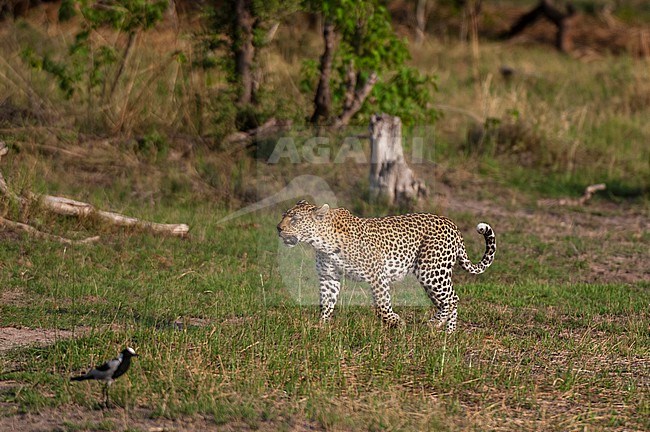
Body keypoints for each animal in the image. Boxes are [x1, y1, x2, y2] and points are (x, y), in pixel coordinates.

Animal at [276, 201, 494, 332]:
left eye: (295, 219)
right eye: (284, 215)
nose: (278, 228)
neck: (322, 242)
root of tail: (453, 225)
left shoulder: (376, 274)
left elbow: (382, 305)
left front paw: (396, 323)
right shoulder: (328, 276)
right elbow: (326, 303)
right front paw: (321, 326)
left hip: (431, 271)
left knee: (452, 299)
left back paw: (435, 324)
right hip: (433, 277)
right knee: (446, 300)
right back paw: (448, 331)